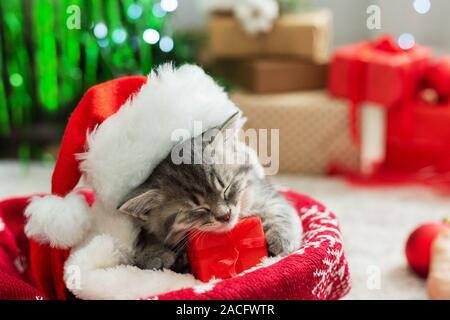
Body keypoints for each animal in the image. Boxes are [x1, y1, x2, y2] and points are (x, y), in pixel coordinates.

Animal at [118, 112, 302, 272]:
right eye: (198, 209)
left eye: (226, 189)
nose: (225, 216)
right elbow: (144, 241)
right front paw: (155, 254)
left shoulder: (262, 191)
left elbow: (280, 209)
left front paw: (282, 237)